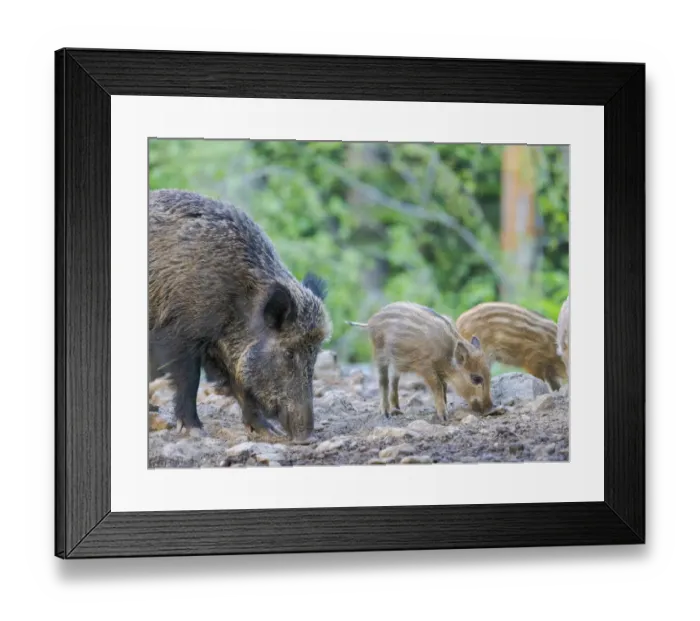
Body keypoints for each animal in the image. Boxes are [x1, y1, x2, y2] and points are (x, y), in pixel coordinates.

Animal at [148, 189, 332, 442]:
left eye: (315, 354)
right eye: (288, 353)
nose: (306, 437)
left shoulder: (221, 347)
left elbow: (240, 385)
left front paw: (267, 431)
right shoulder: (177, 334)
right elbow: (190, 380)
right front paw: (195, 429)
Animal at [346, 301, 492, 420]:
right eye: (476, 379)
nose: (491, 409)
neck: (447, 354)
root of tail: (371, 321)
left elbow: (444, 387)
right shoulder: (425, 366)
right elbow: (438, 387)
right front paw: (443, 416)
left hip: (397, 362)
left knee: (394, 381)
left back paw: (397, 410)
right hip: (379, 352)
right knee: (383, 381)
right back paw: (386, 413)